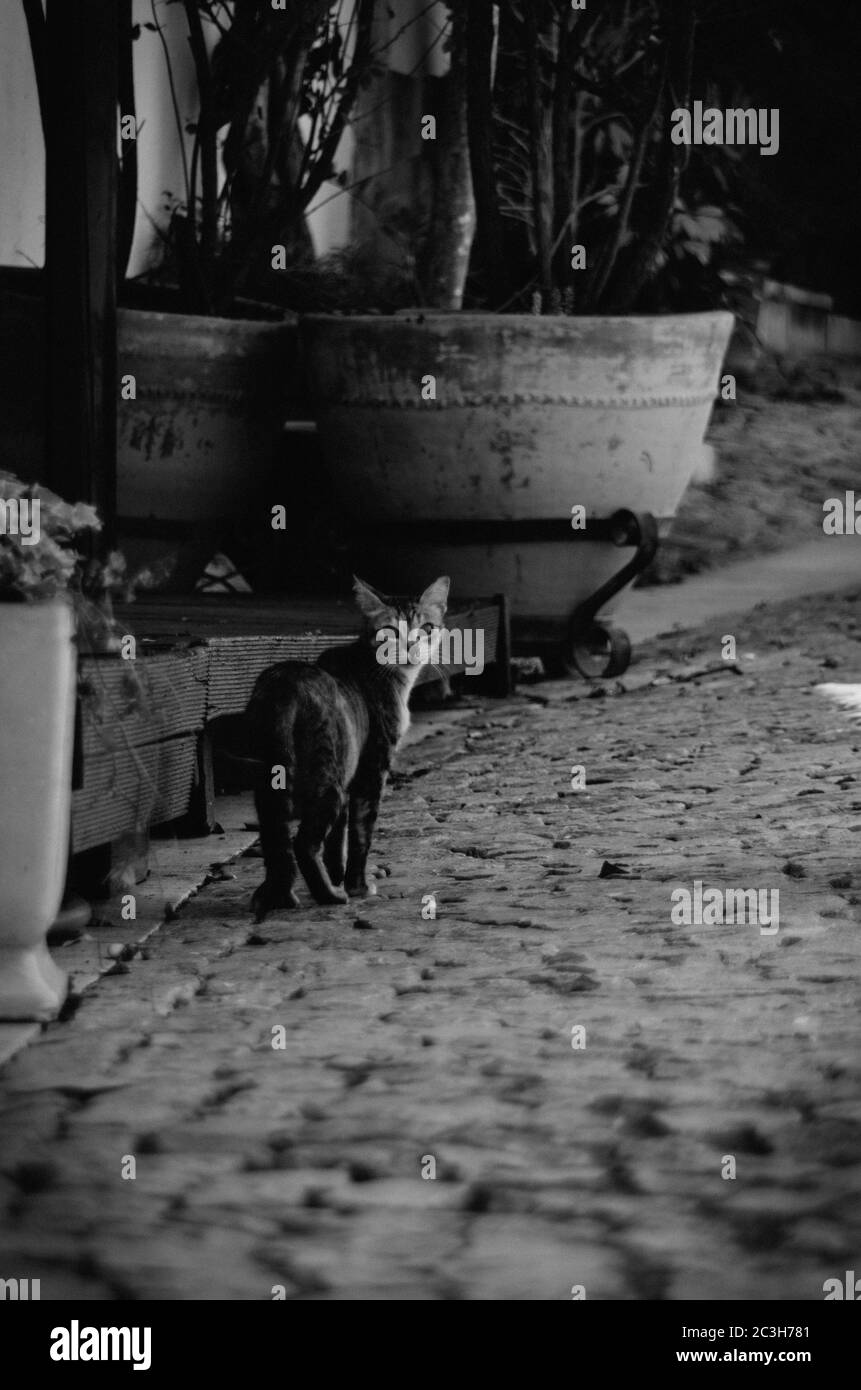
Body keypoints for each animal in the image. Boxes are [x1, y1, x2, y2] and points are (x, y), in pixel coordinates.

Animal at [246, 569, 447, 917]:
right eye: (389, 630)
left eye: (427, 628)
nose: (410, 647)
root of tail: (285, 686)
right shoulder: (371, 767)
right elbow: (360, 834)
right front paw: (357, 885)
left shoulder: (352, 772)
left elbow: (337, 838)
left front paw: (338, 873)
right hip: (329, 778)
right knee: (303, 842)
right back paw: (329, 895)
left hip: (271, 780)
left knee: (276, 838)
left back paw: (279, 895)